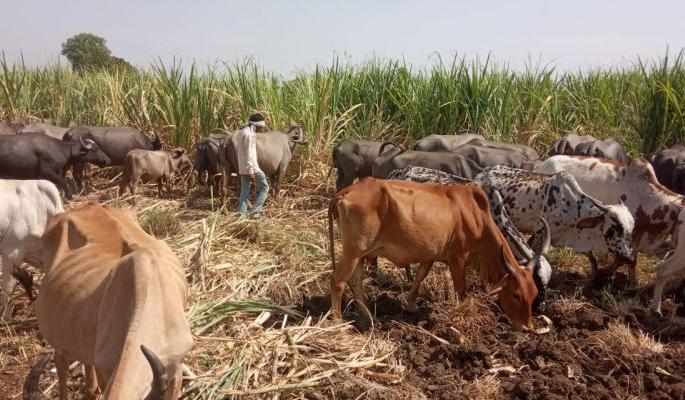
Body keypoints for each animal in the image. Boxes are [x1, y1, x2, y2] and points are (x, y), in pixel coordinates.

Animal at [327, 178, 541, 331]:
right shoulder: (458, 259)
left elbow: (419, 278)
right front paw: (460, 314)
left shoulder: (430, 255)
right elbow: (461, 290)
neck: (478, 218)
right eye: (516, 294)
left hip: (361, 254)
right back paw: (338, 322)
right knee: (337, 281)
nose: (527, 328)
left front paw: (411, 306)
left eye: (534, 293)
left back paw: (370, 316)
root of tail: (346, 191)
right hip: (353, 251)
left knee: (355, 281)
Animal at [475, 166, 635, 273]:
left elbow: (592, 258)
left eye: (630, 230)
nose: (628, 256)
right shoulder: (541, 231)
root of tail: (482, 173)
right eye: (616, 227)